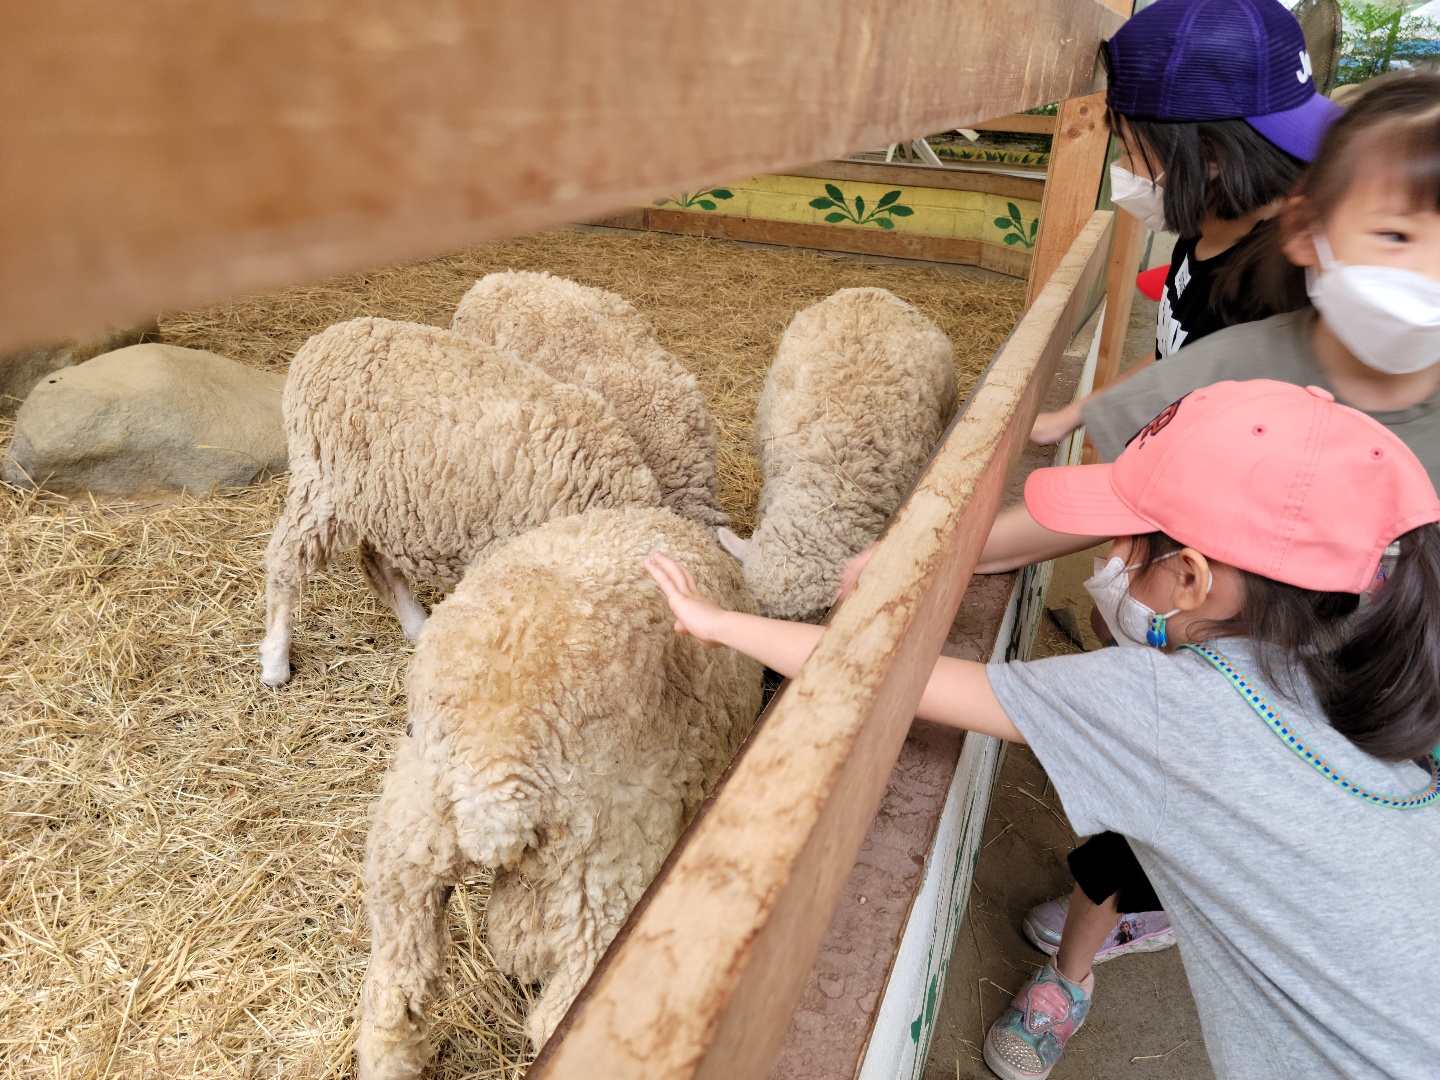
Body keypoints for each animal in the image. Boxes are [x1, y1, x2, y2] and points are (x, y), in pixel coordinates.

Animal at [260, 319, 662, 685]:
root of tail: (325, 338)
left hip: (385, 498)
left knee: (377, 560)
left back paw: (417, 626)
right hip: (320, 481)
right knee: (284, 562)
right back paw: (275, 663)